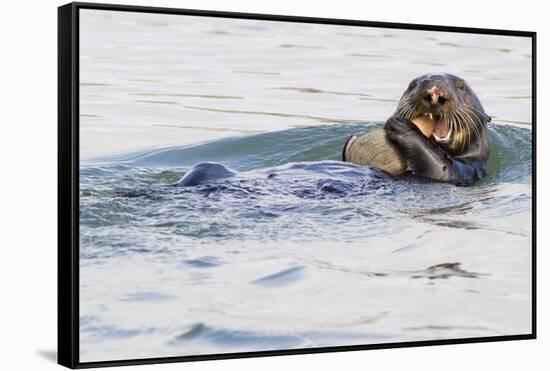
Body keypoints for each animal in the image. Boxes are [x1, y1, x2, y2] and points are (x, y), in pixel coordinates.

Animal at [344, 73, 492, 186]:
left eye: (461, 87)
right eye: (411, 85)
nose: (434, 85)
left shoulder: (467, 170)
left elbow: (442, 170)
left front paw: (403, 126)